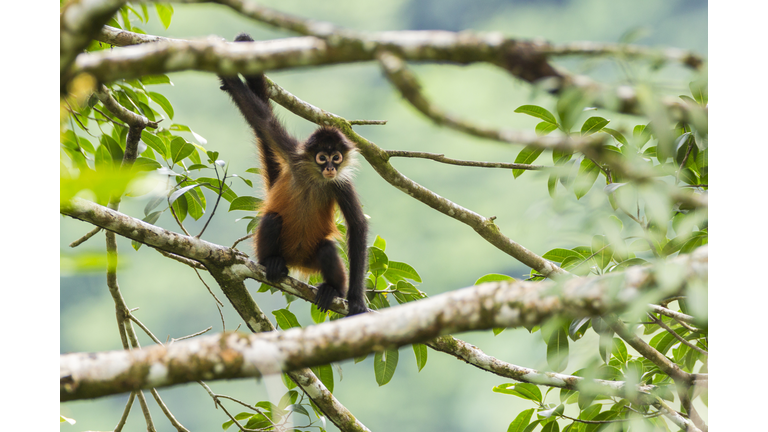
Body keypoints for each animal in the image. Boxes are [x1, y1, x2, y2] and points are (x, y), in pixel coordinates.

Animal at [218, 33, 370, 314]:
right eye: (322, 157)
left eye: (336, 157)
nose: (330, 167)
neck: (314, 178)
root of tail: (297, 260)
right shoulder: (293, 154)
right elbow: (261, 120)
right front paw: (228, 77)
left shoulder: (341, 183)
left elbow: (357, 226)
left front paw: (355, 299)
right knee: (271, 219)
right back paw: (272, 263)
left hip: (313, 258)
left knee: (328, 248)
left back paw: (334, 289)